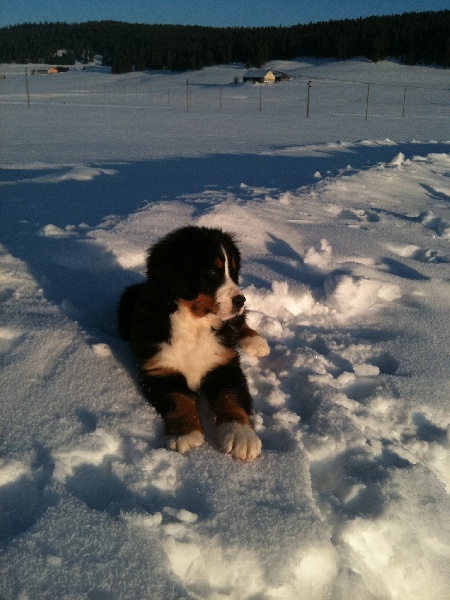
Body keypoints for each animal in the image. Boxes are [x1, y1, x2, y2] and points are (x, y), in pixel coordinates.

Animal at [118, 225, 268, 460]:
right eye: (212, 272)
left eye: (233, 272)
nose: (240, 300)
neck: (194, 325)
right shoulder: (159, 370)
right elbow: (177, 399)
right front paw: (185, 433)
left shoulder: (225, 364)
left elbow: (231, 396)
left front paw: (240, 435)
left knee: (239, 322)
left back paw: (255, 340)